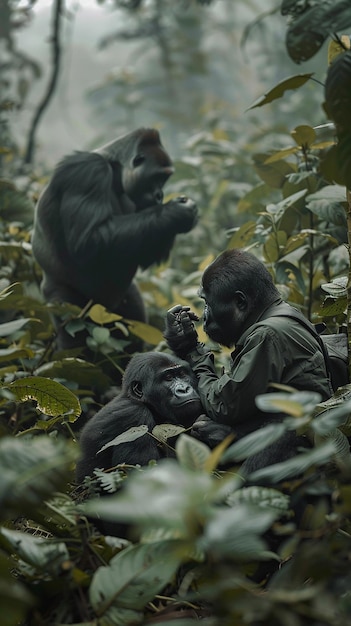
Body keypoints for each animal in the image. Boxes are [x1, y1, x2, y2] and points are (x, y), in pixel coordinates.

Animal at [32, 126, 198, 346]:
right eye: (157, 178)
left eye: (165, 180)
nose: (159, 196)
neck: (115, 166)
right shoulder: (88, 170)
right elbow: (89, 242)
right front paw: (177, 213)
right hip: (64, 304)